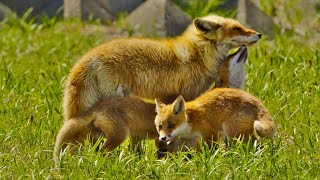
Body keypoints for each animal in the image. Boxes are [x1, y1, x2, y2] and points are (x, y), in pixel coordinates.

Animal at [63, 15, 262, 119]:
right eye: (237, 29)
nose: (259, 34)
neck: (199, 54)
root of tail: (87, 59)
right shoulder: (187, 94)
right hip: (114, 97)